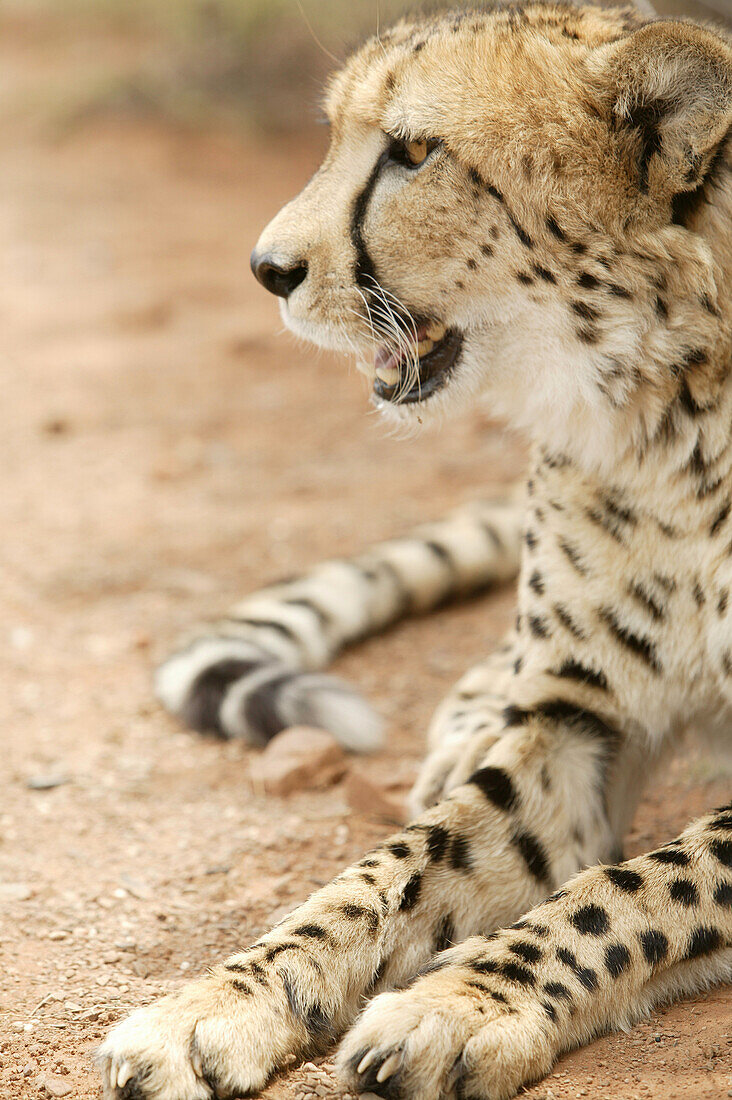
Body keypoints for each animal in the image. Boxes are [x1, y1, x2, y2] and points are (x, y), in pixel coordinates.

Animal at [98, 8, 730, 1100]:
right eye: (339, 135)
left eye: (416, 153)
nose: (267, 269)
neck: (658, 412)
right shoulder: (576, 718)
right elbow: (390, 872)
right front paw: (219, 1000)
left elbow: (632, 888)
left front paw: (463, 1001)